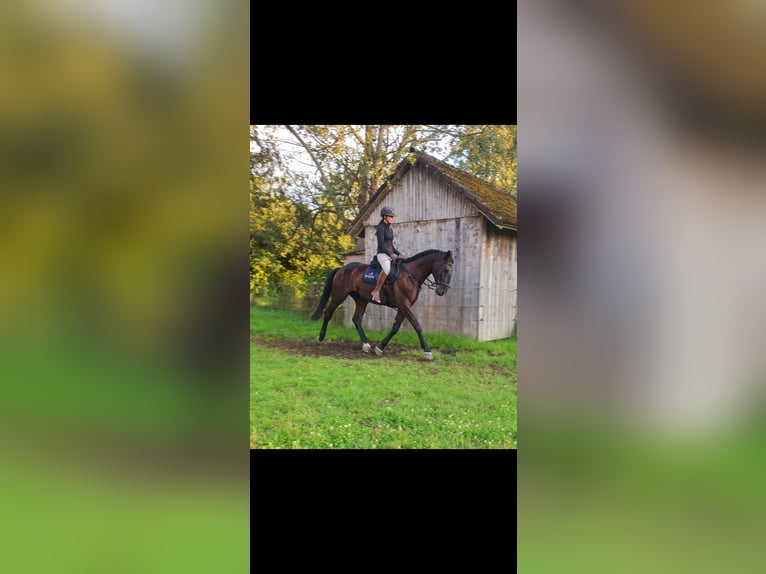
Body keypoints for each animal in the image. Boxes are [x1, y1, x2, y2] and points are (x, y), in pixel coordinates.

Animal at [310, 249, 454, 360]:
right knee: (328, 313)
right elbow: (417, 325)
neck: (410, 274)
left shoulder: (403, 308)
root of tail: (342, 269)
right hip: (339, 295)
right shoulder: (404, 305)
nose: (442, 291)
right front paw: (427, 351)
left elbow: (395, 328)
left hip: (362, 300)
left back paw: (365, 345)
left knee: (356, 319)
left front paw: (380, 348)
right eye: (446, 270)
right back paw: (320, 338)